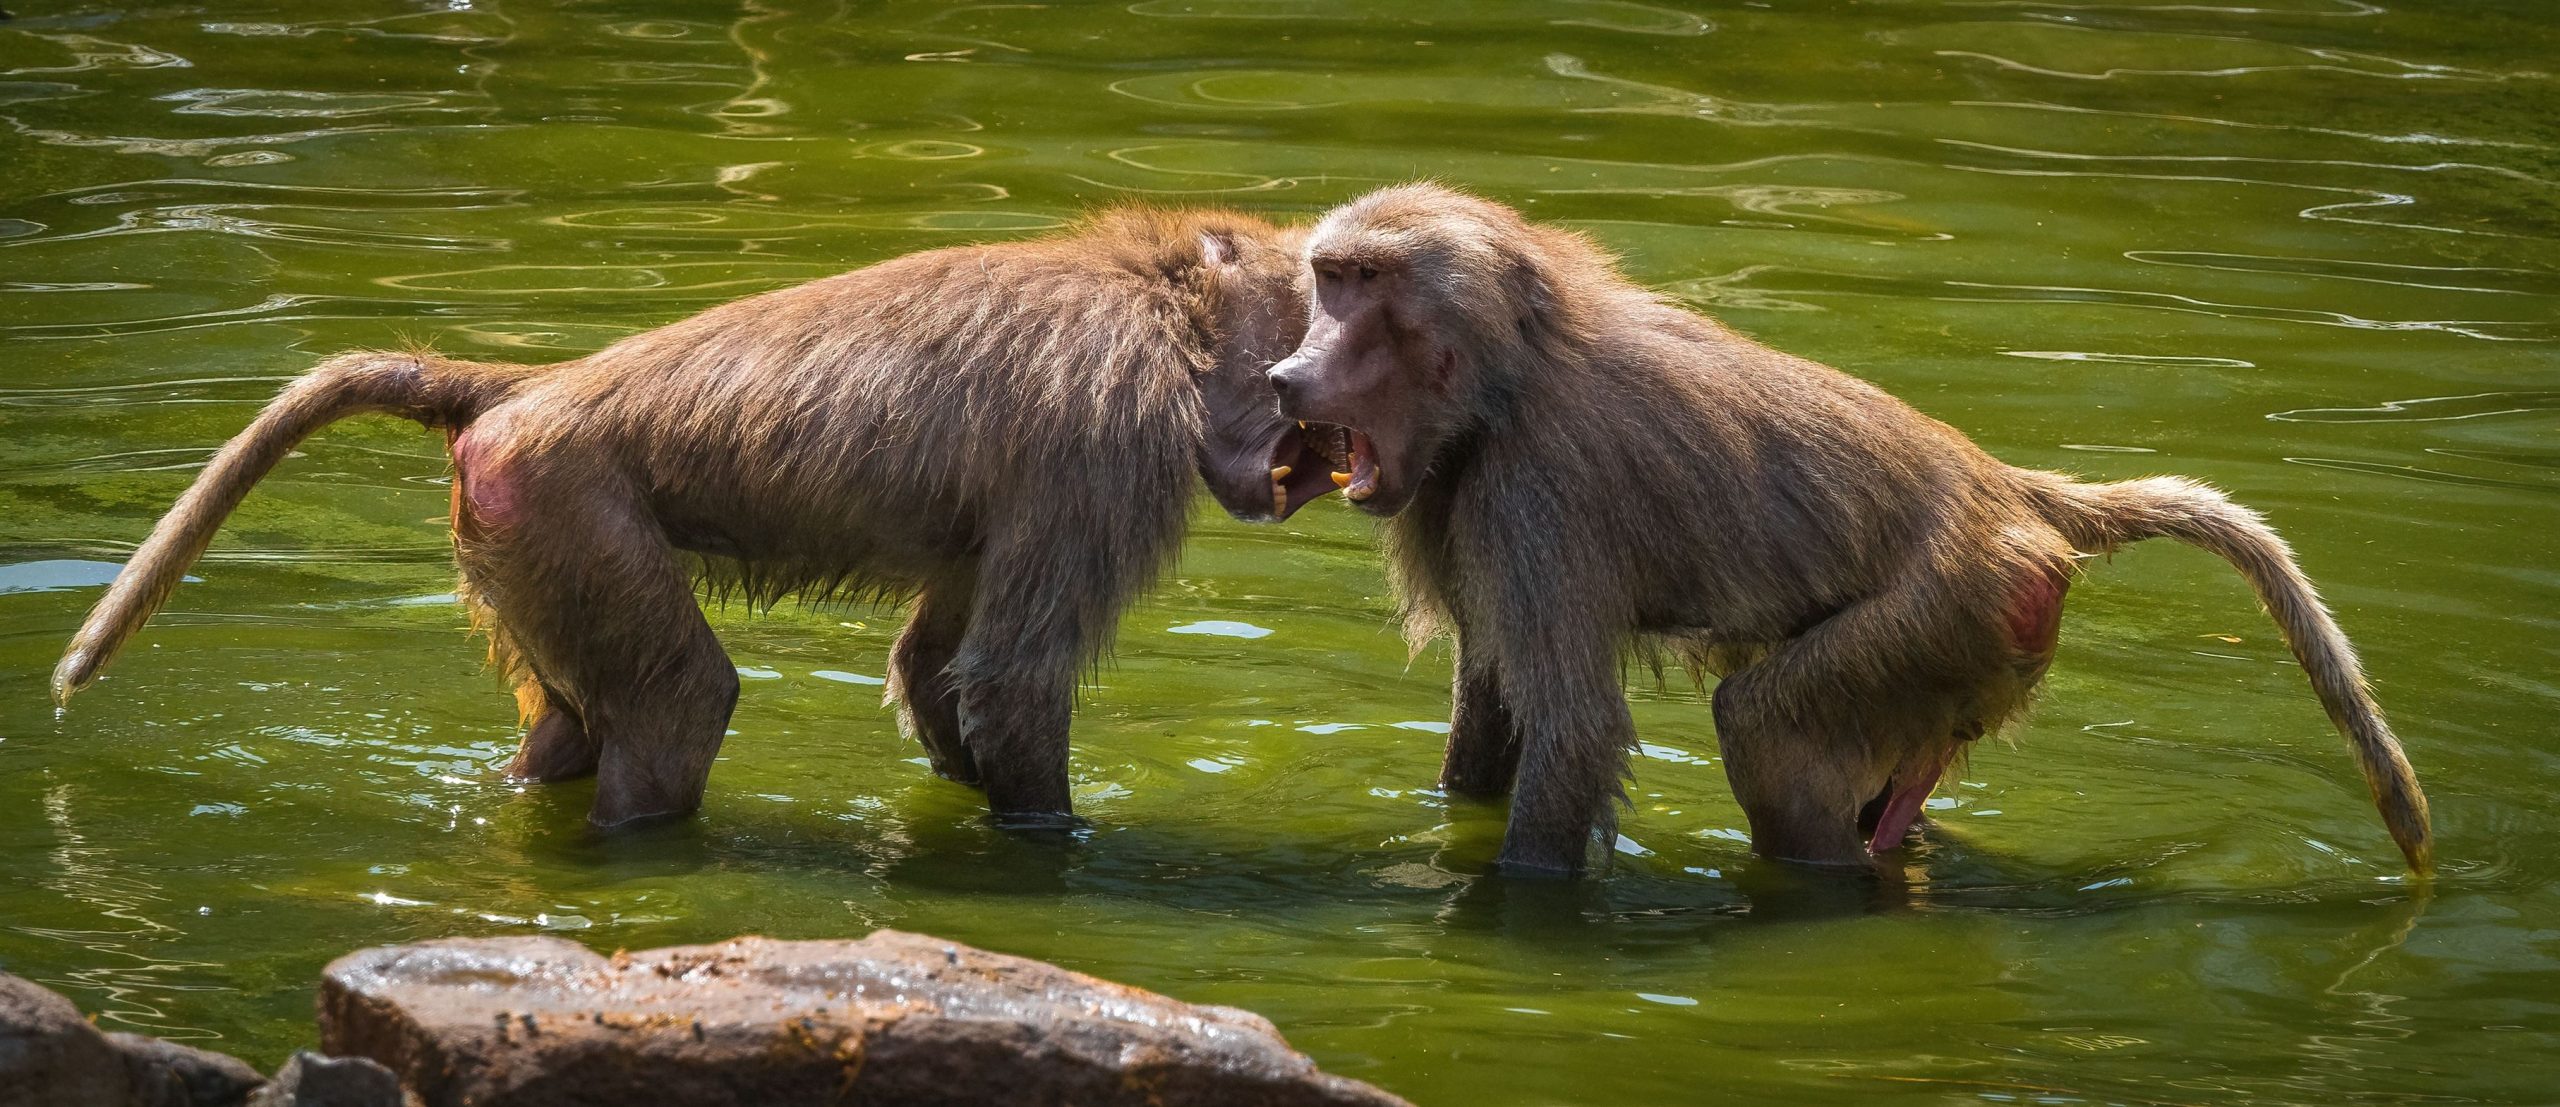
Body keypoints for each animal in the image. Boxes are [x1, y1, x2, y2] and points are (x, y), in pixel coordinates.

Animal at [51, 207, 1344, 830]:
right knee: (679, 705)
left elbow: (936, 669)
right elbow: (1012, 683)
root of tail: (524, 389)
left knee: (573, 726)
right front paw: (1057, 845)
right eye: (1317, 312)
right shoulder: (1106, 449)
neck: (1160, 296)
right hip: (565, 503)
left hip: (513, 537)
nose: (1321, 463)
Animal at [1264, 183, 2432, 878]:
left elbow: (1574, 730)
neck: (1511, 372)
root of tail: (2008, 493)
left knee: (1768, 735)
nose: (1285, 374)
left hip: (1953, 609)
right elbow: (1495, 705)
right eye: (1328, 279)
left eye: (1363, 285)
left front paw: (1511, 907)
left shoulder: (1531, 495)